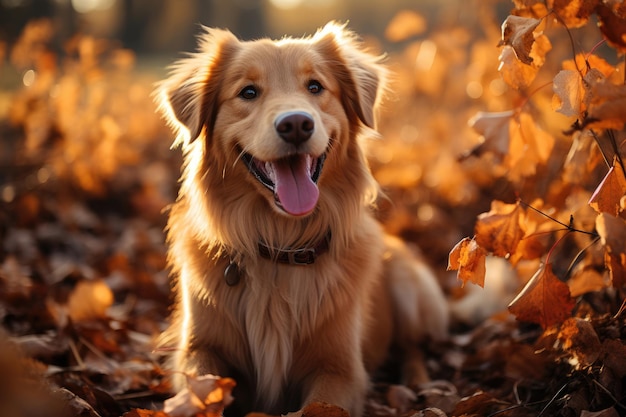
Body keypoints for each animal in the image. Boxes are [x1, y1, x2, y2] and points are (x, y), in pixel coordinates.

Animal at [157, 23, 448, 416]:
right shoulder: (199, 349)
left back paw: (417, 382)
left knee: (413, 346)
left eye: (315, 87)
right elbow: (197, 390)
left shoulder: (340, 369)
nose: (296, 124)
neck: (282, 247)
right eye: (248, 92)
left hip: (409, 286)